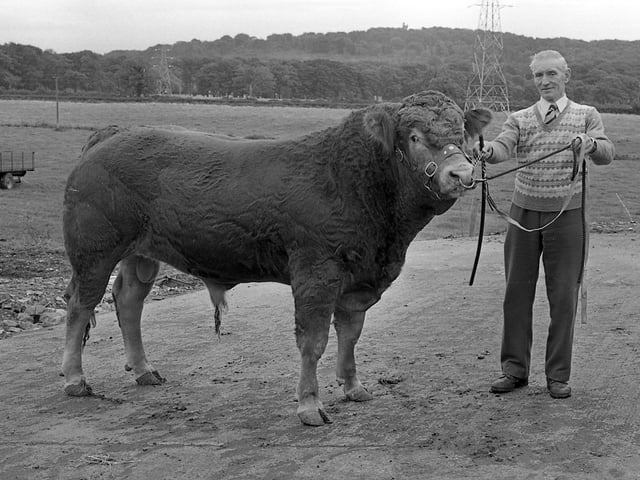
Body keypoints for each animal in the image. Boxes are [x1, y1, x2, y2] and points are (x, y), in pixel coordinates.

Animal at [62, 90, 491, 426]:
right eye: (415, 136)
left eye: (461, 134)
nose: (461, 173)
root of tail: (114, 133)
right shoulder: (317, 273)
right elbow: (314, 341)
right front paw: (310, 405)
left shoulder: (359, 277)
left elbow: (350, 333)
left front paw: (353, 386)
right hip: (93, 252)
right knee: (80, 305)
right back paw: (75, 379)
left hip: (140, 254)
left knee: (128, 301)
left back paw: (143, 370)